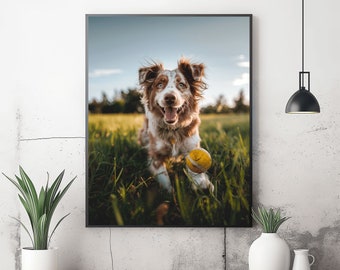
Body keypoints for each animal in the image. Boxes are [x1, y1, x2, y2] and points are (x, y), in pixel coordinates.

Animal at [138, 57, 212, 192]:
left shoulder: (191, 147)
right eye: (159, 85)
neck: (173, 129)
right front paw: (169, 193)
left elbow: (195, 172)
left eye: (181, 84)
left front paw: (203, 185)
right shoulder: (156, 155)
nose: (170, 98)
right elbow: (164, 177)